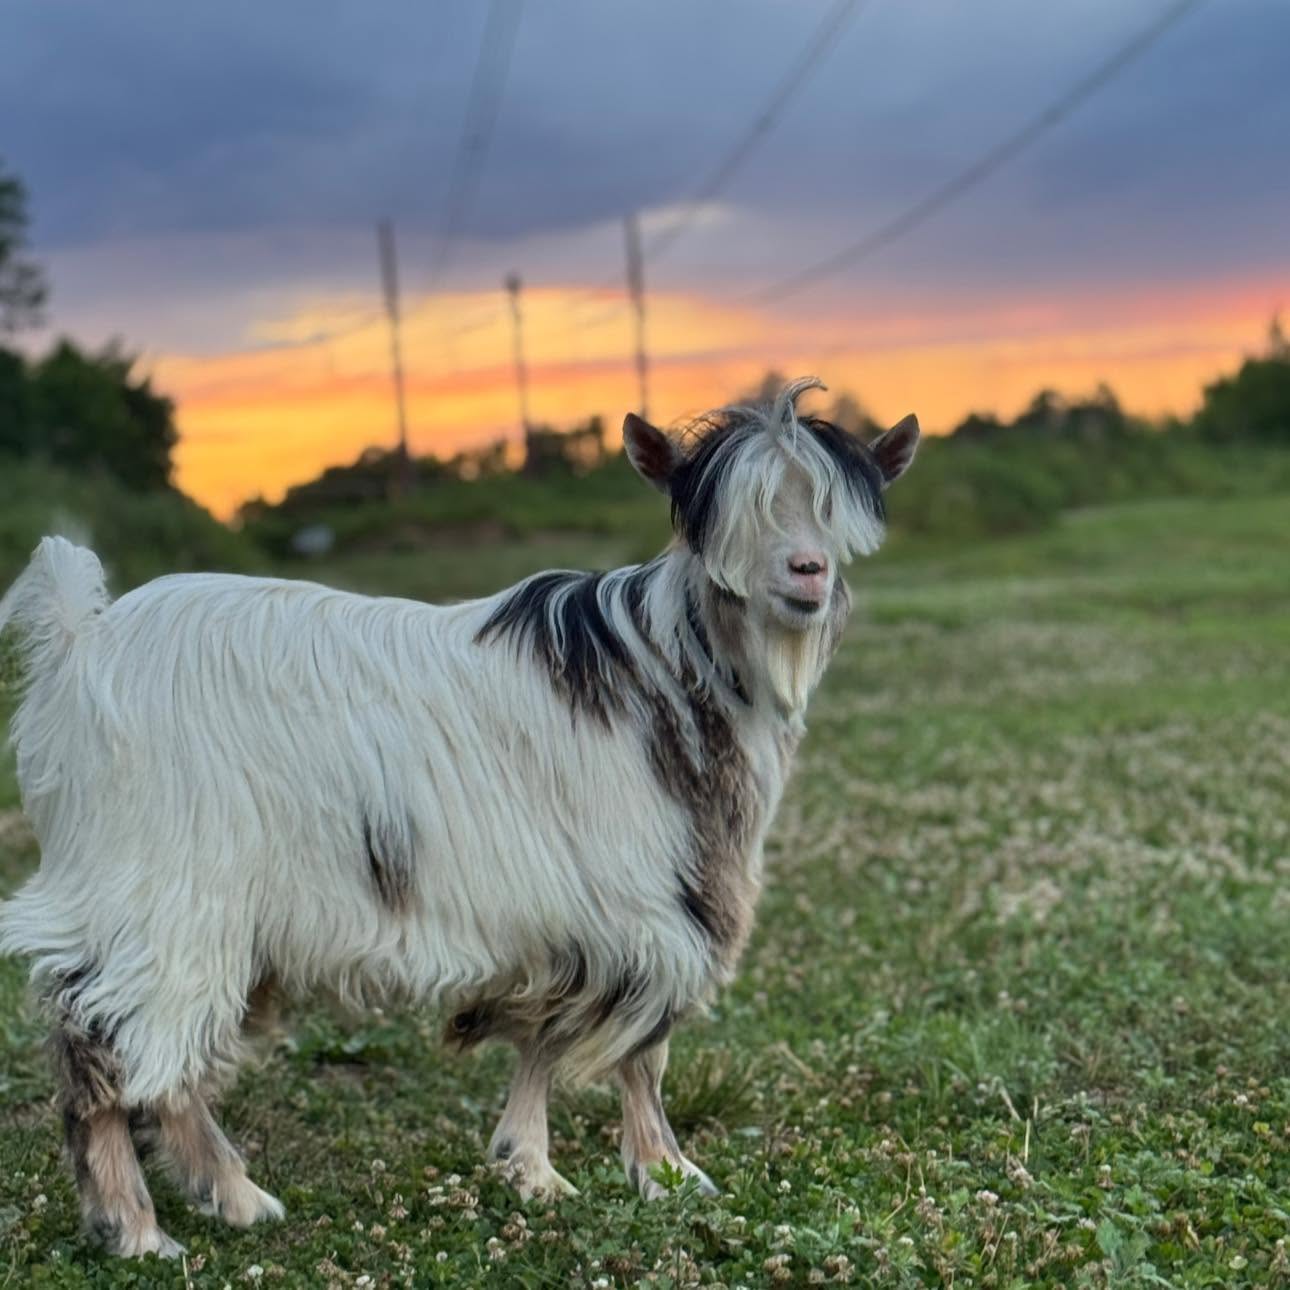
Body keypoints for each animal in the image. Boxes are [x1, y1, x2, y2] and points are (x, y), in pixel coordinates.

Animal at [0, 377, 919, 1257]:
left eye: (830, 510)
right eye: (719, 522)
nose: (807, 572)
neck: (667, 668)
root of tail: (78, 645)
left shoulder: (570, 909)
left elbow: (549, 1031)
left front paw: (533, 1166)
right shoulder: (645, 898)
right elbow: (639, 1049)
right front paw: (664, 1171)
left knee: (156, 1056)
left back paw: (228, 1199)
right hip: (166, 892)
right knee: (112, 1044)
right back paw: (140, 1228)